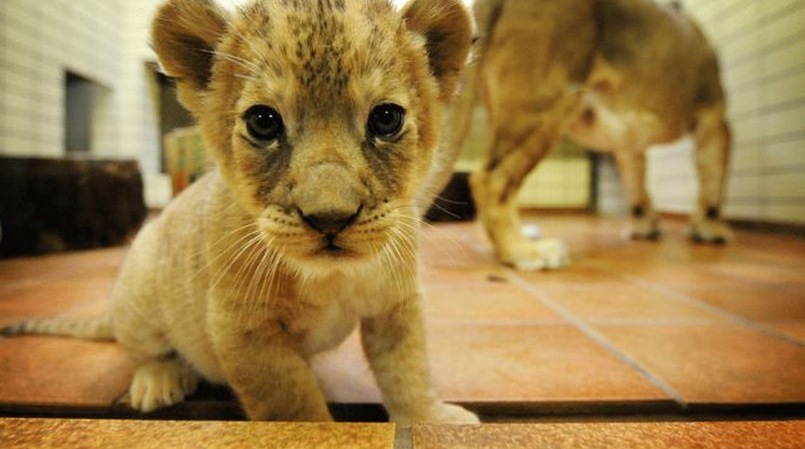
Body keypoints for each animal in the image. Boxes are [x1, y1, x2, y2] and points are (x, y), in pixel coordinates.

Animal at [1, 0, 479, 424]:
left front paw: (432, 420)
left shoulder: (397, 302)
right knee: (141, 349)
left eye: (386, 119)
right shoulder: (240, 325)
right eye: (263, 122)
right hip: (140, 282)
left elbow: (408, 370)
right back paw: (159, 381)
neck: (331, 280)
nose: (329, 218)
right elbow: (291, 403)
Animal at [446, 0, 733, 270]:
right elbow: (712, 183)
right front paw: (710, 230)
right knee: (490, 179)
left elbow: (637, 184)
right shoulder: (714, 118)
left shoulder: (629, 144)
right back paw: (524, 251)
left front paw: (645, 226)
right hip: (550, 102)